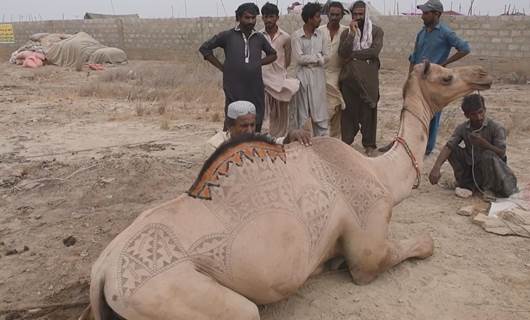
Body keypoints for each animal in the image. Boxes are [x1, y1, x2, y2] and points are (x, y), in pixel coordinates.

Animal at [79, 61, 490, 318]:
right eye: (446, 76)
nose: (483, 75)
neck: (380, 173)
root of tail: (103, 275)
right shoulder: (368, 245)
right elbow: (405, 250)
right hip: (177, 294)